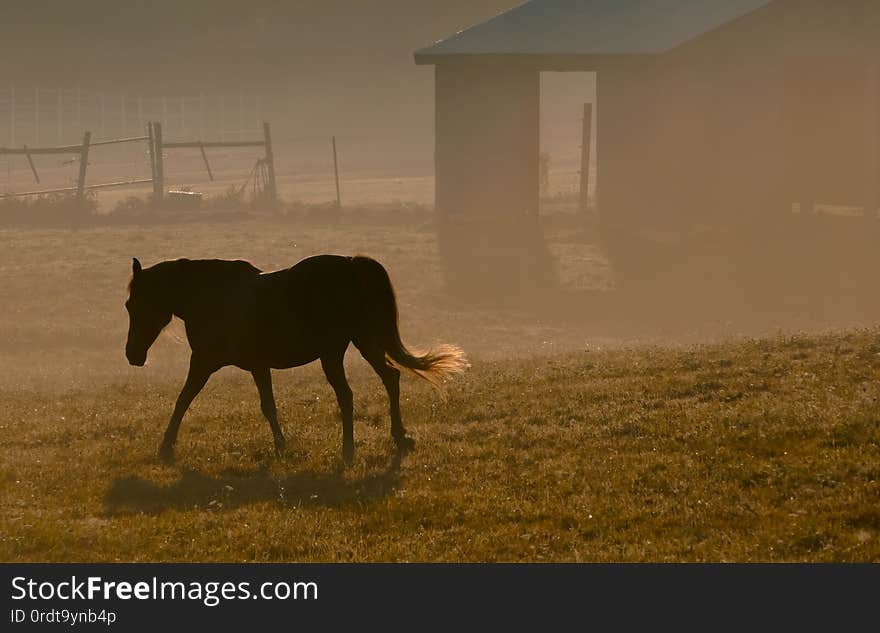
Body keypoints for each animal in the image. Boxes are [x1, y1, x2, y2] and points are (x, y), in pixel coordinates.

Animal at [125, 256, 468, 464]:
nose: (132, 355)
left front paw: (166, 446)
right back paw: (398, 436)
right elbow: (268, 406)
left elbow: (183, 399)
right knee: (390, 378)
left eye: (133, 304)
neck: (210, 296)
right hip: (364, 342)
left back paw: (348, 450)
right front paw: (281, 445)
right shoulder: (258, 366)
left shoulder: (204, 362)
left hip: (335, 353)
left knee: (348, 395)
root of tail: (352, 265)